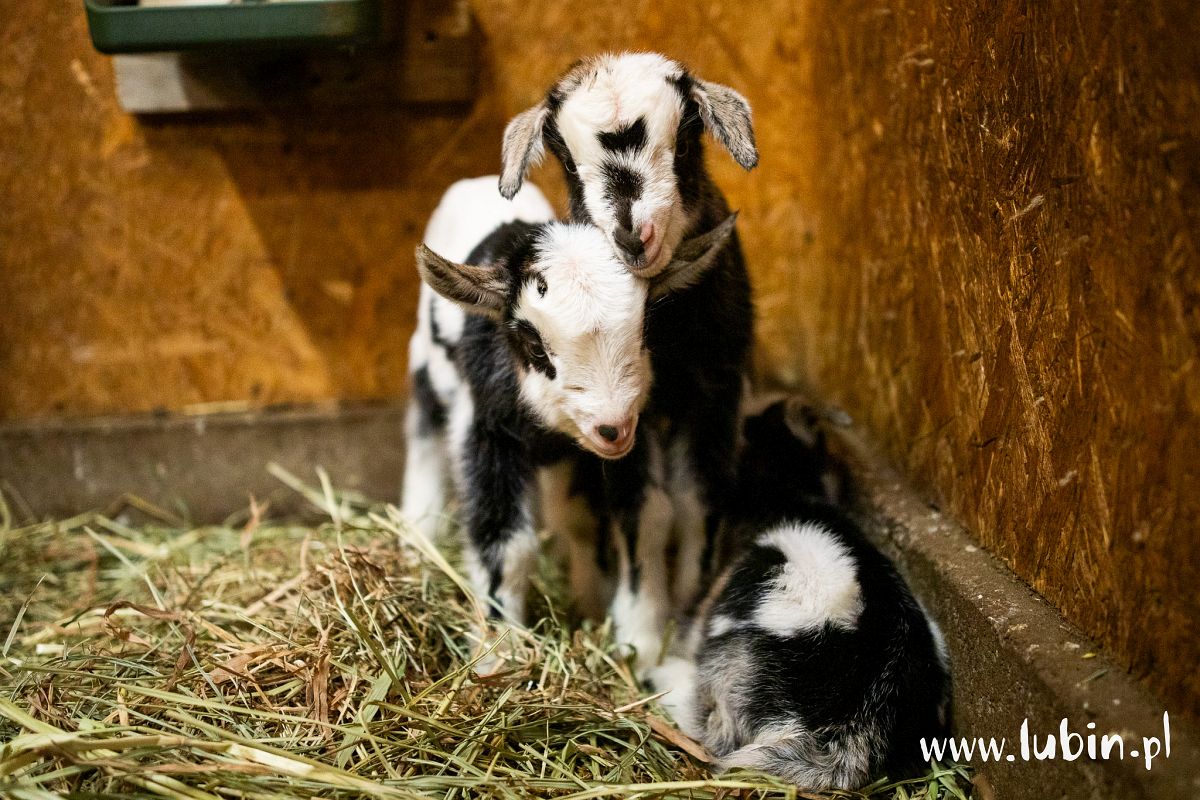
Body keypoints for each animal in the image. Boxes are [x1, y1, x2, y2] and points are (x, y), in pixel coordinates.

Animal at [496, 53, 748, 618]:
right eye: (569, 164)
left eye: (685, 145)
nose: (633, 236)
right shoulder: (632, 418)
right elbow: (646, 512)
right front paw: (643, 621)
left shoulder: (716, 395)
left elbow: (699, 502)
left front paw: (690, 608)